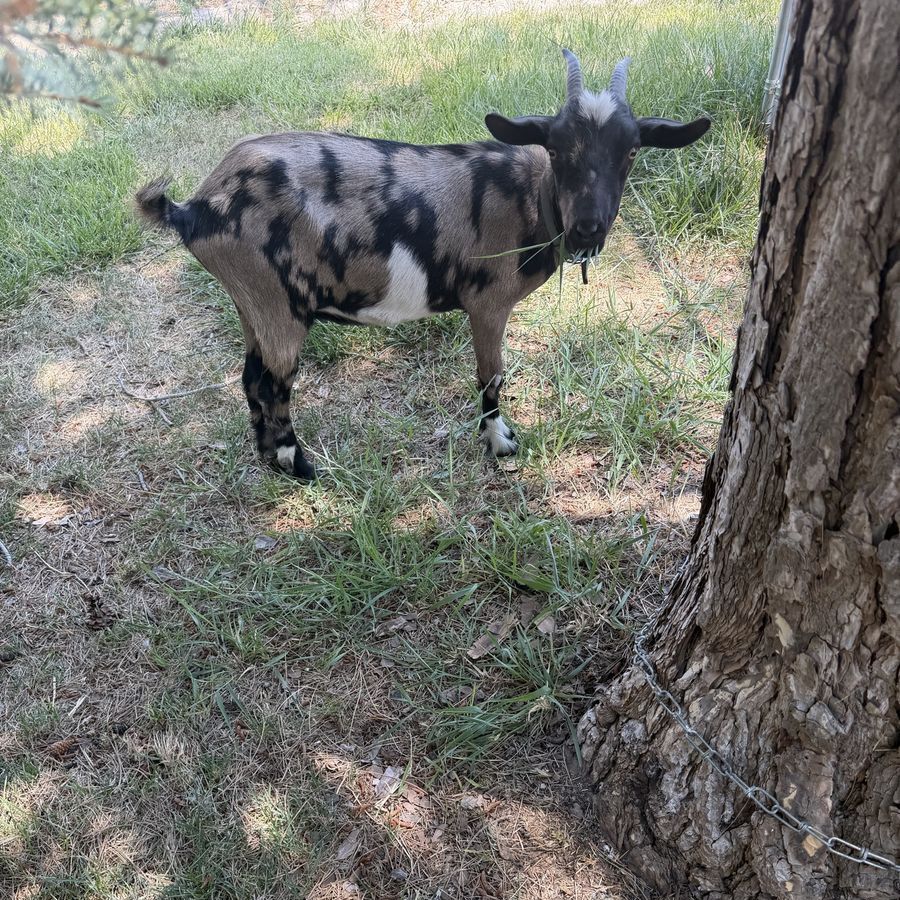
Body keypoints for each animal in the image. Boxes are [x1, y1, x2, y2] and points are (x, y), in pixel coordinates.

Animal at [136, 51, 709, 480]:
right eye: (555, 147)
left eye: (632, 150)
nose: (589, 227)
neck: (530, 199)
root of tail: (195, 206)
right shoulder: (488, 303)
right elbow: (490, 376)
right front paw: (500, 443)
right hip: (278, 304)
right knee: (272, 383)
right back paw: (298, 464)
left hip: (252, 304)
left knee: (249, 376)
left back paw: (267, 456)